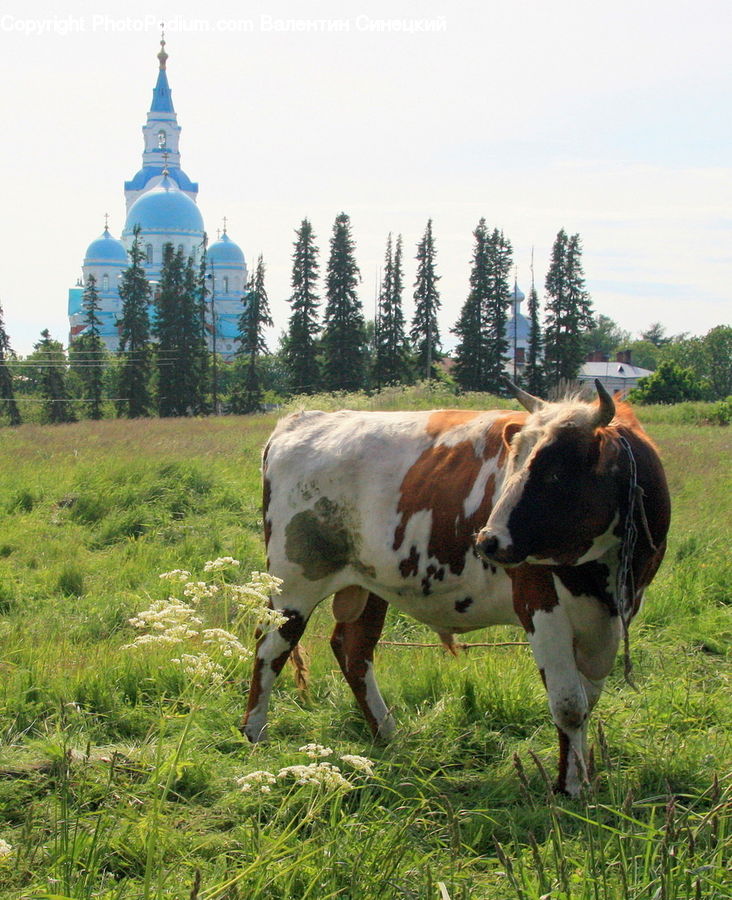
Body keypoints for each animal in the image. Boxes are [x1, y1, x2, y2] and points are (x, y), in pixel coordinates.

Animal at [243, 381, 671, 796]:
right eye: (514, 460)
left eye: (556, 472)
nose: (488, 540)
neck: (604, 572)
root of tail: (303, 419)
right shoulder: (542, 607)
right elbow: (568, 703)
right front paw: (570, 789)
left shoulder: (611, 617)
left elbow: (587, 700)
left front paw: (579, 777)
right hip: (294, 582)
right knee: (271, 645)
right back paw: (255, 731)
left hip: (370, 584)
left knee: (353, 649)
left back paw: (387, 733)